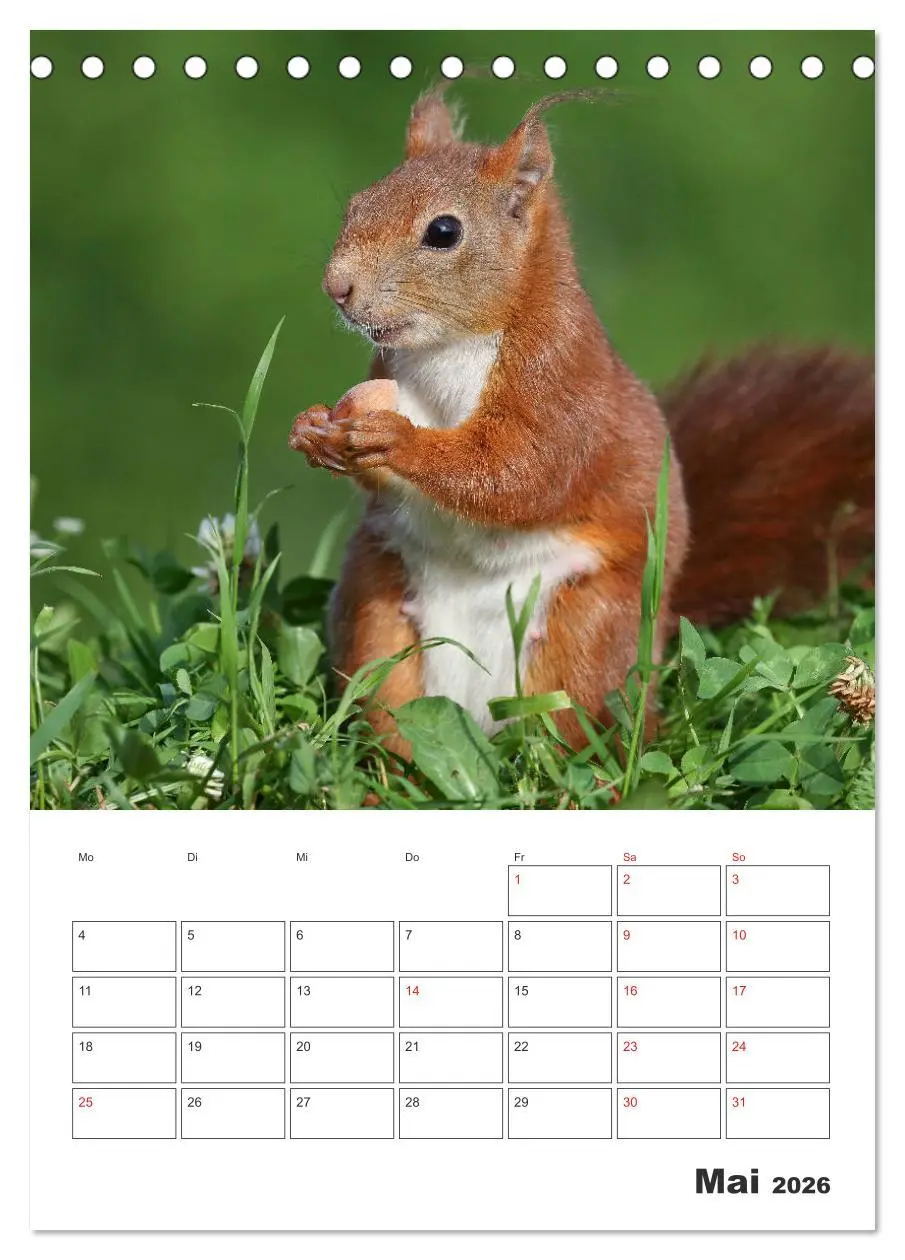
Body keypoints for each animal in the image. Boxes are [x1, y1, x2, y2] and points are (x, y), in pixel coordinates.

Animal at [289, 90, 874, 754]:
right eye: (358, 202)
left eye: (443, 231)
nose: (337, 287)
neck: (449, 347)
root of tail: (479, 715)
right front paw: (312, 428)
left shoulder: (562, 383)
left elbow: (522, 472)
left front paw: (396, 438)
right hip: (380, 616)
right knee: (393, 713)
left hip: (584, 637)